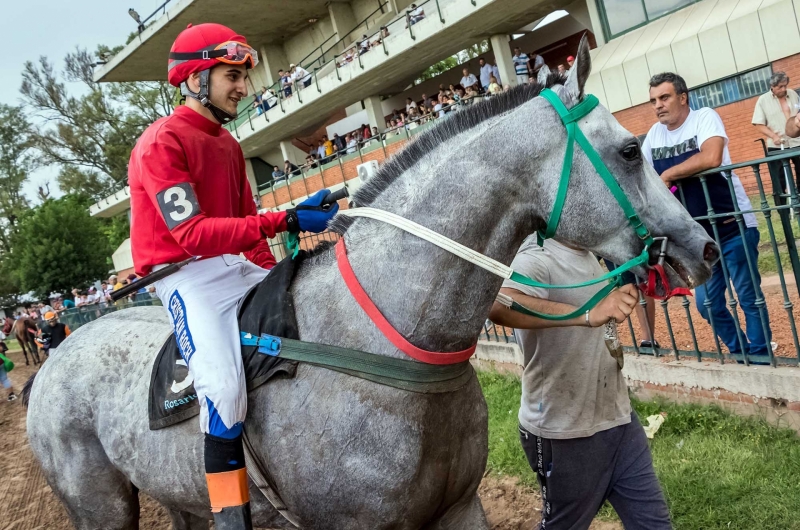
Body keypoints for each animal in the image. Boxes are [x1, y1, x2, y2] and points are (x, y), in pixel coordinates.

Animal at [25, 39, 716, 528]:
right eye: (629, 150)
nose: (703, 248)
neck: (381, 341)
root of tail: (56, 355)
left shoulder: (459, 509)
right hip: (102, 505)